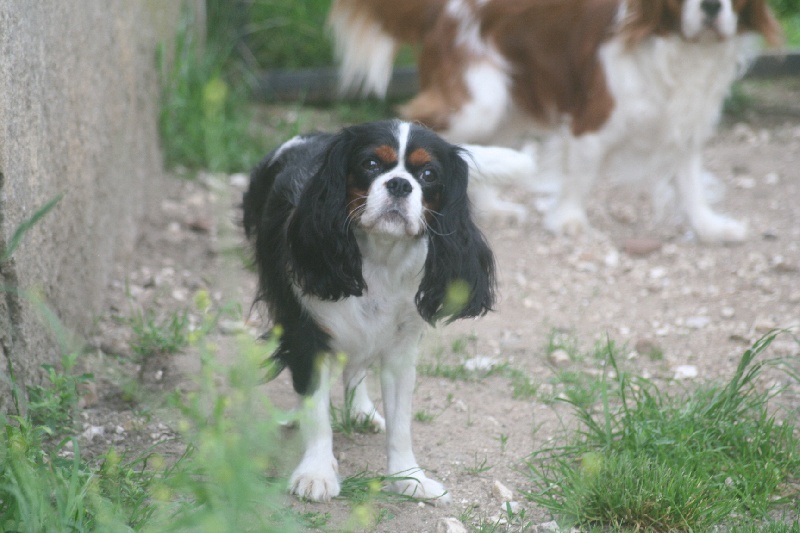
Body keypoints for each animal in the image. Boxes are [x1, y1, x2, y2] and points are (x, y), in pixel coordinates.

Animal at [241, 119, 496, 502]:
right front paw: (316, 473)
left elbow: (401, 423)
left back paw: (360, 409)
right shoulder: (308, 338)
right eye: (371, 164)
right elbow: (317, 412)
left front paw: (409, 477)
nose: (400, 183)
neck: (380, 259)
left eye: (429, 174)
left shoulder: (400, 351)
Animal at [330, 0, 780, 241]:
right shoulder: (592, 118)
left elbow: (689, 181)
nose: (710, 7)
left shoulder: (687, 121)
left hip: (508, 106)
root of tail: (442, 8)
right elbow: (580, 174)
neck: (684, 48)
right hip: (481, 101)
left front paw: (709, 227)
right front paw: (569, 221)